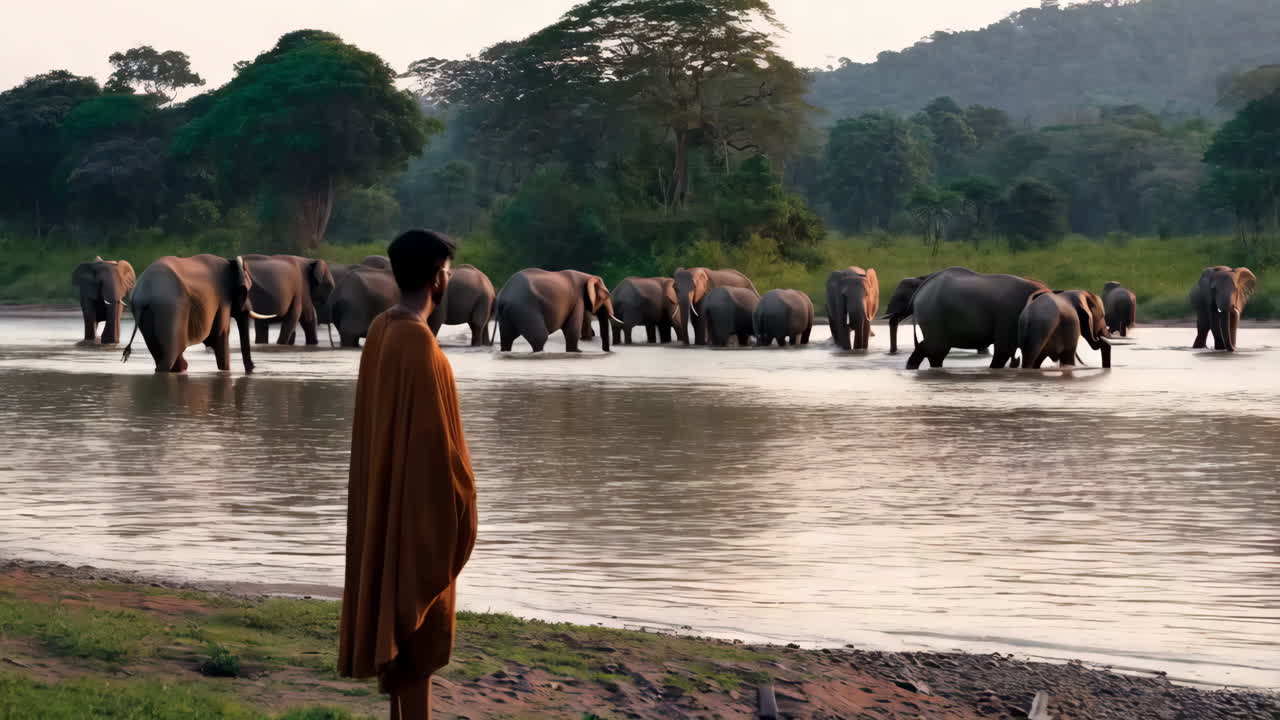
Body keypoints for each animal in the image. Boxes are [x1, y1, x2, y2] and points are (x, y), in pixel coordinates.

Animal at [121, 255, 275, 373]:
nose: (253, 369)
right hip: (170, 309)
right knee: (170, 356)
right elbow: (221, 334)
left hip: (147, 315)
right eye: (247, 289)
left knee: (162, 353)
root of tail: (143, 292)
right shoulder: (223, 299)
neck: (229, 261)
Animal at [906, 266, 1048, 369]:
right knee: (936, 351)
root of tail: (920, 290)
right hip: (933, 315)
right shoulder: (1009, 316)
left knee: (927, 347)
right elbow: (1004, 349)